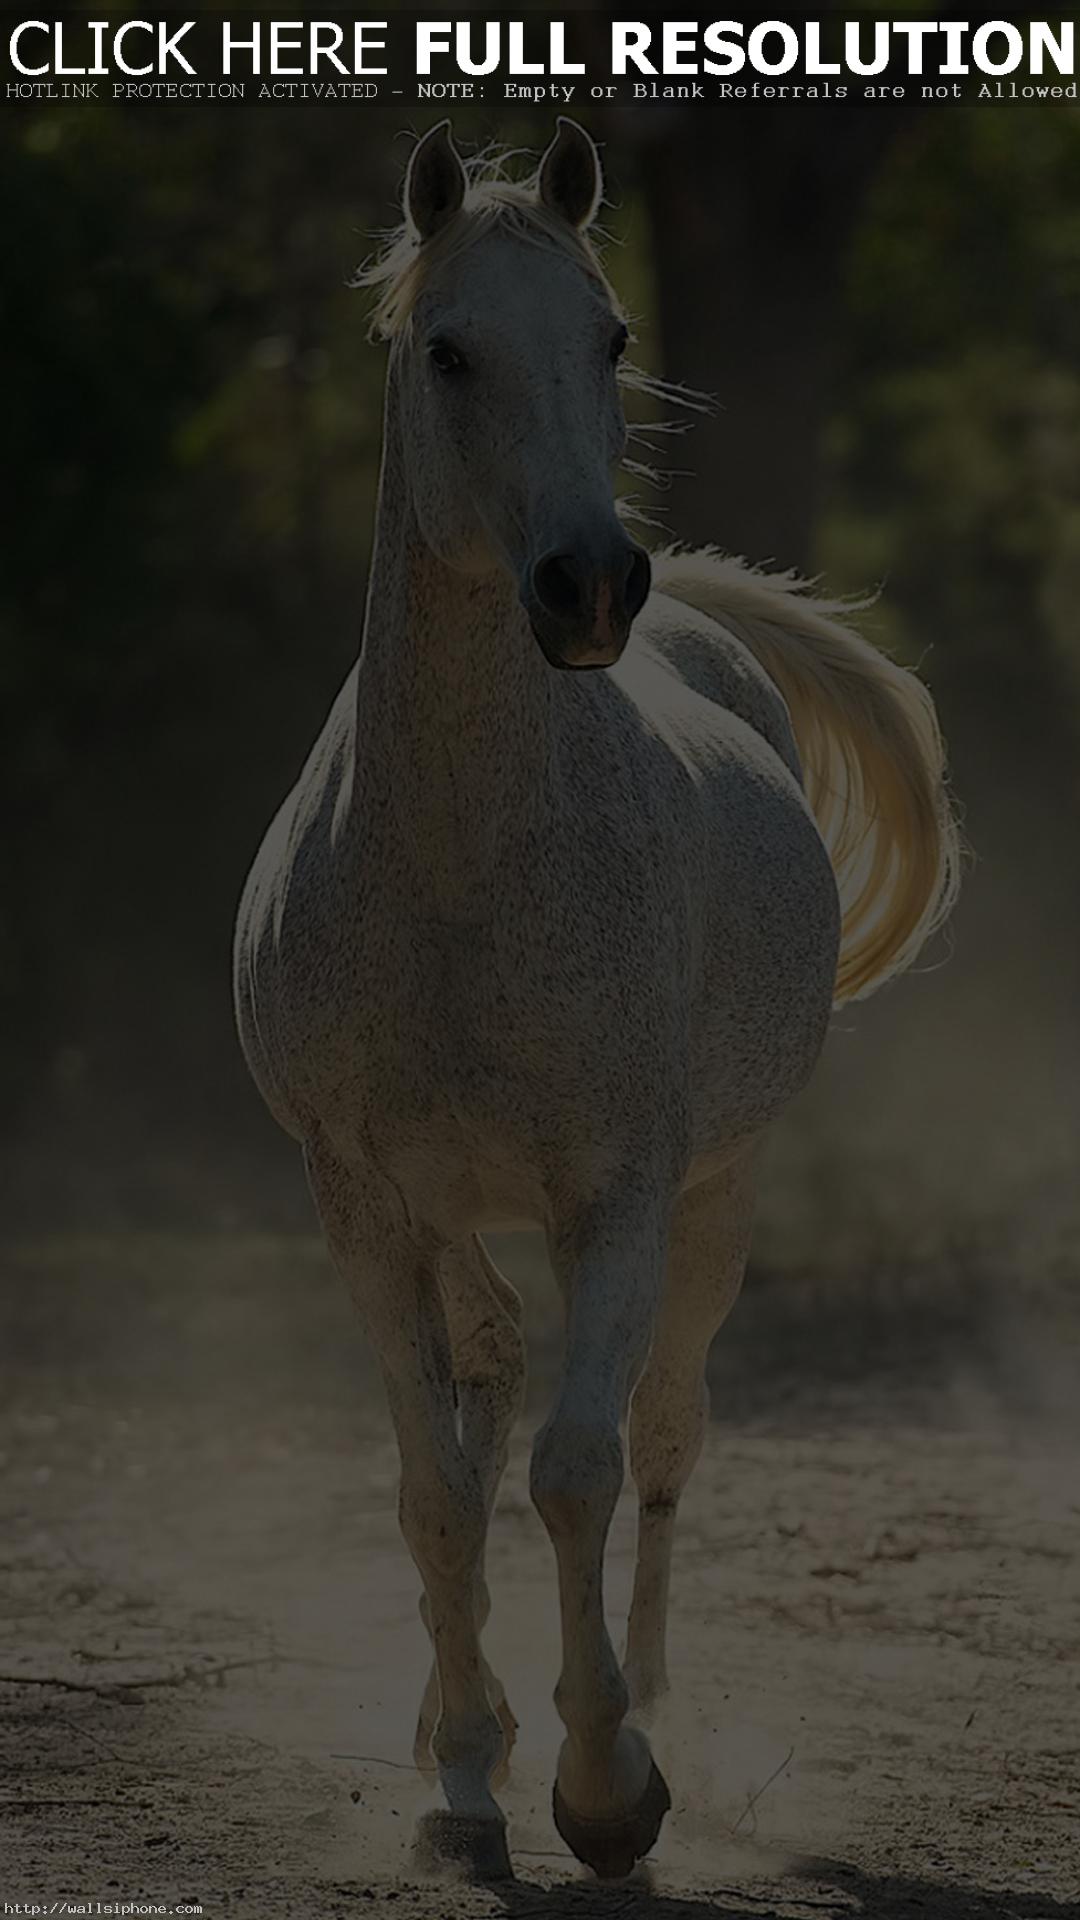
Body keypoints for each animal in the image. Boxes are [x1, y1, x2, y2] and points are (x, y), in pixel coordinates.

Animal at [231, 116, 953, 1873]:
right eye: (450, 350)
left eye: (613, 339)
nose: (587, 589)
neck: (456, 870)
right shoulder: (362, 1201)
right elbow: (437, 1484)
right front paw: (467, 1771)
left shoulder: (617, 1191)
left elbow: (577, 1468)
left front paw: (609, 1783)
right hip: (453, 1212)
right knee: (485, 1385)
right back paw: (466, 1736)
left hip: (721, 1194)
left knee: (667, 1437)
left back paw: (657, 1704)